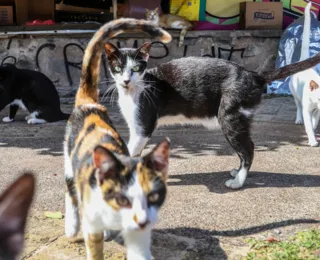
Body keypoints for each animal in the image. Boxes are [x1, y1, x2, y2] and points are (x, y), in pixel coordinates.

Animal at [63, 17, 172, 258]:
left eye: (152, 197)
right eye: (124, 198)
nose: (141, 218)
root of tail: (89, 103)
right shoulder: (92, 222)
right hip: (68, 158)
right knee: (70, 189)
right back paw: (71, 226)